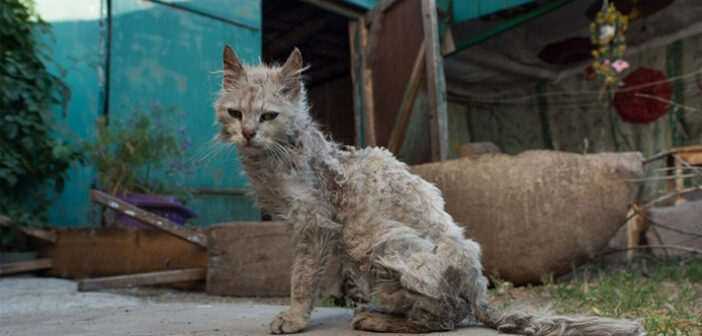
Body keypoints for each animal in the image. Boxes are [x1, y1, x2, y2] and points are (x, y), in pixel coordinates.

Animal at [213, 45, 644, 336]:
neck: (280, 154)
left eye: (268, 116)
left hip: (378, 242)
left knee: (443, 318)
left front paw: (294, 318)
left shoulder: (316, 226)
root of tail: (480, 297)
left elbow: (302, 279)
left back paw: (376, 319)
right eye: (236, 114)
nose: (248, 133)